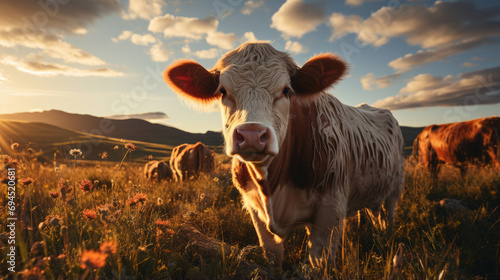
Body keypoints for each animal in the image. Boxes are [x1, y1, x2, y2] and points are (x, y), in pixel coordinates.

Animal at [164, 42, 406, 268]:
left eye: (286, 90)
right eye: (222, 91)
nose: (252, 135)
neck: (271, 187)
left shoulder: (330, 210)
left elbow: (318, 263)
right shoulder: (255, 210)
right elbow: (273, 257)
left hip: (394, 189)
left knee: (388, 218)